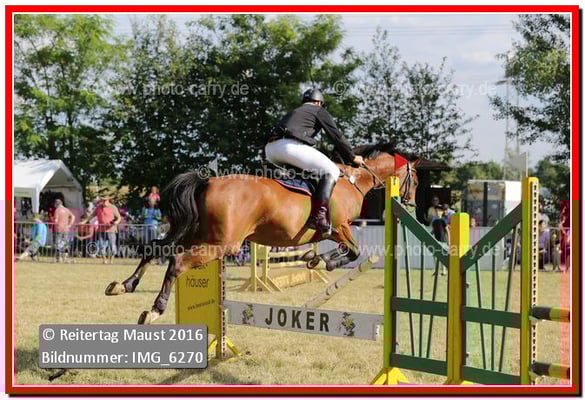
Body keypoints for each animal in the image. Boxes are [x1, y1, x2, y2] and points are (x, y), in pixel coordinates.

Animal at [105, 143, 433, 324]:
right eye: (416, 180)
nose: (413, 206)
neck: (354, 180)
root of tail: (207, 182)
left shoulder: (331, 233)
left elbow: (339, 251)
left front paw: (314, 259)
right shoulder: (339, 228)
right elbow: (353, 251)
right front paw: (323, 261)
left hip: (196, 233)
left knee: (156, 248)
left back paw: (124, 285)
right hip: (222, 243)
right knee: (177, 261)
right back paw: (155, 310)